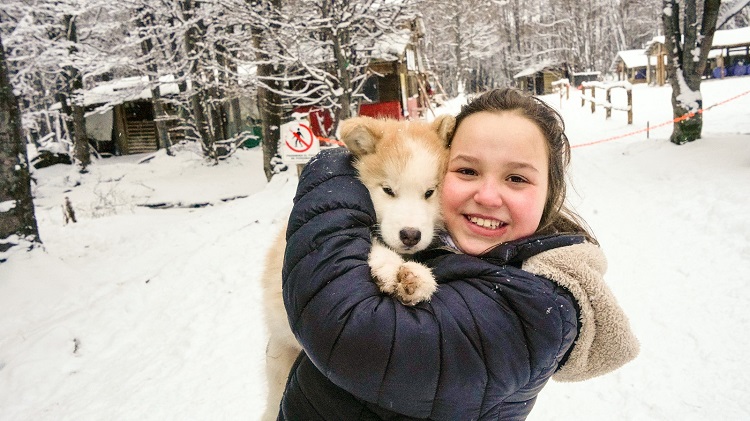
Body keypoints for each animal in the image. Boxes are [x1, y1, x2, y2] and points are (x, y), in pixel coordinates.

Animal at [262, 115, 456, 420]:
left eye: (429, 192)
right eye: (388, 190)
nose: (410, 235)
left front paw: (416, 279)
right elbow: (373, 240)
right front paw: (391, 267)